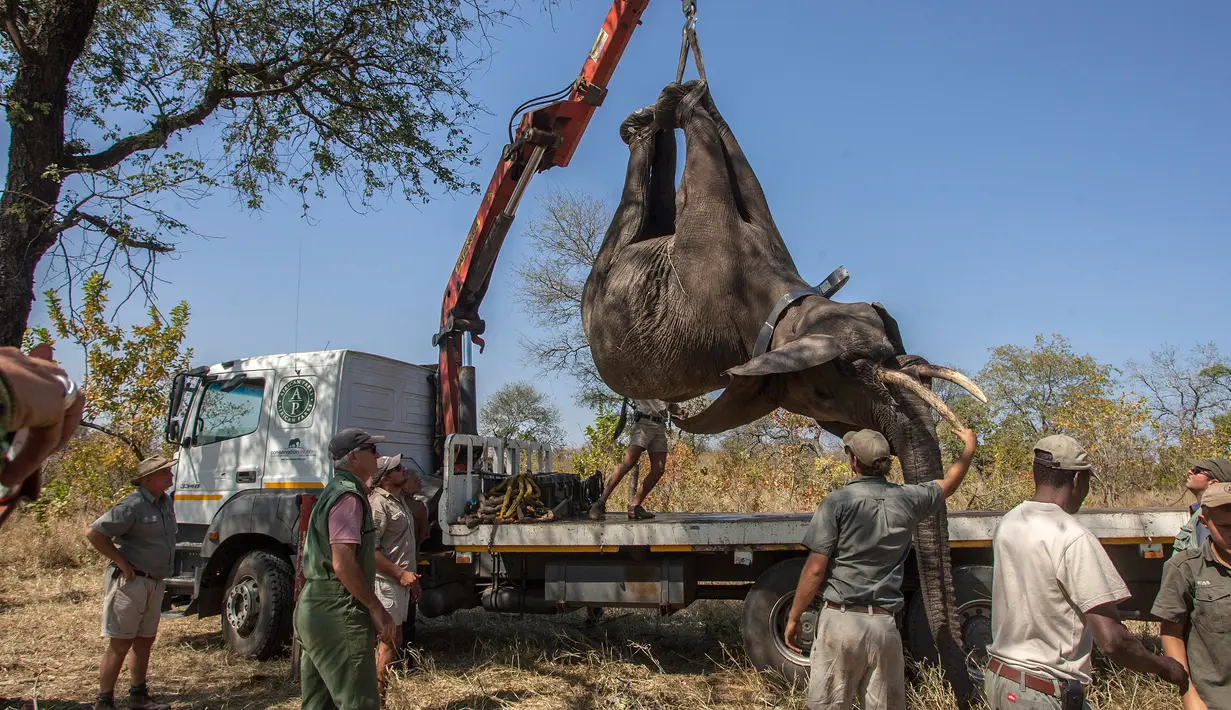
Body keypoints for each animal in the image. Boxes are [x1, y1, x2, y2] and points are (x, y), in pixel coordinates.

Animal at [581, 79, 984, 698]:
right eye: (849, 372)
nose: (960, 682)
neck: (788, 308)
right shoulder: (711, 265)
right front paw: (685, 98)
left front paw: (687, 98)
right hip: (605, 277)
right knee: (635, 210)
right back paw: (646, 120)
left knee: (647, 204)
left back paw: (646, 120)